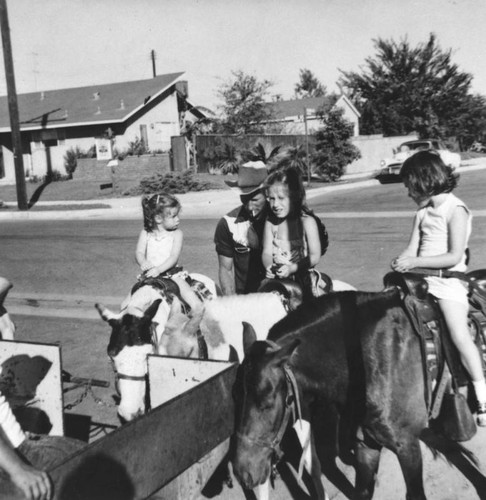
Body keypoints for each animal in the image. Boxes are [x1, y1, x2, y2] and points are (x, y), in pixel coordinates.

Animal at [233, 290, 482, 500]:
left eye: (267, 401)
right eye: (237, 396)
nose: (242, 472)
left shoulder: (407, 445)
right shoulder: (366, 444)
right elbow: (362, 491)